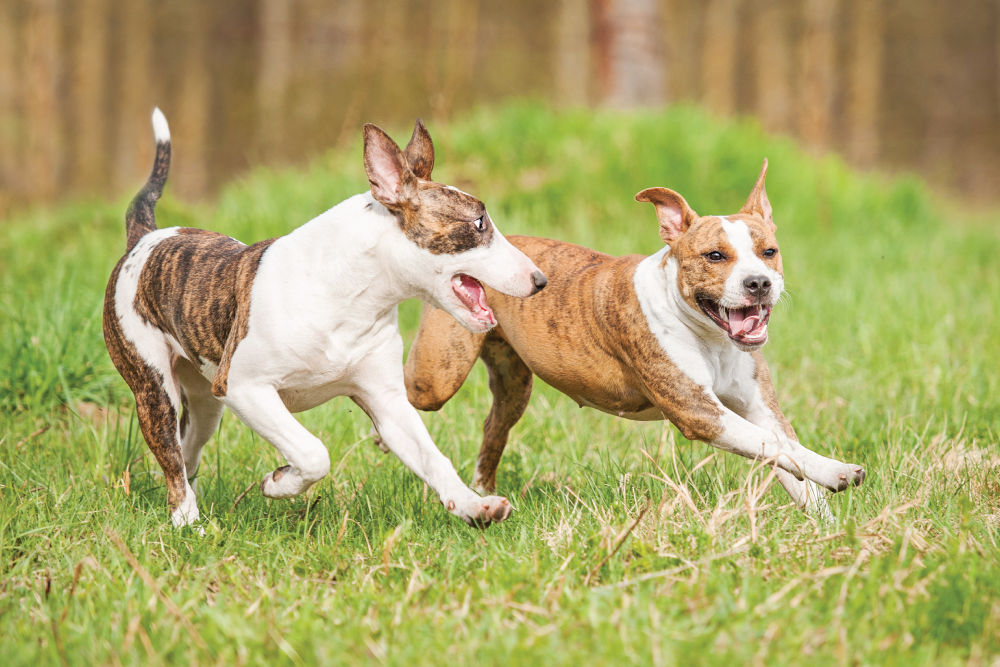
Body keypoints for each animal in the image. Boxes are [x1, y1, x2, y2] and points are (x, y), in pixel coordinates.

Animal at [103, 108, 548, 528]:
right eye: (479, 223)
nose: (540, 280)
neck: (352, 298)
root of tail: (145, 238)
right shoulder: (246, 386)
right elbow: (313, 452)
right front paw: (278, 483)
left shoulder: (386, 401)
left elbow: (432, 458)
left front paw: (474, 506)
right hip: (154, 387)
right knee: (171, 454)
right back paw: (187, 520)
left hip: (205, 402)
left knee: (187, 450)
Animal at [402, 163, 864, 520]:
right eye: (714, 256)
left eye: (769, 252)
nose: (759, 283)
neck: (708, 335)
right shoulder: (699, 412)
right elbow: (776, 446)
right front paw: (840, 472)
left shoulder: (759, 408)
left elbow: (784, 451)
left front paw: (826, 522)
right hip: (437, 378)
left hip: (514, 385)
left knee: (492, 430)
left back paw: (483, 492)